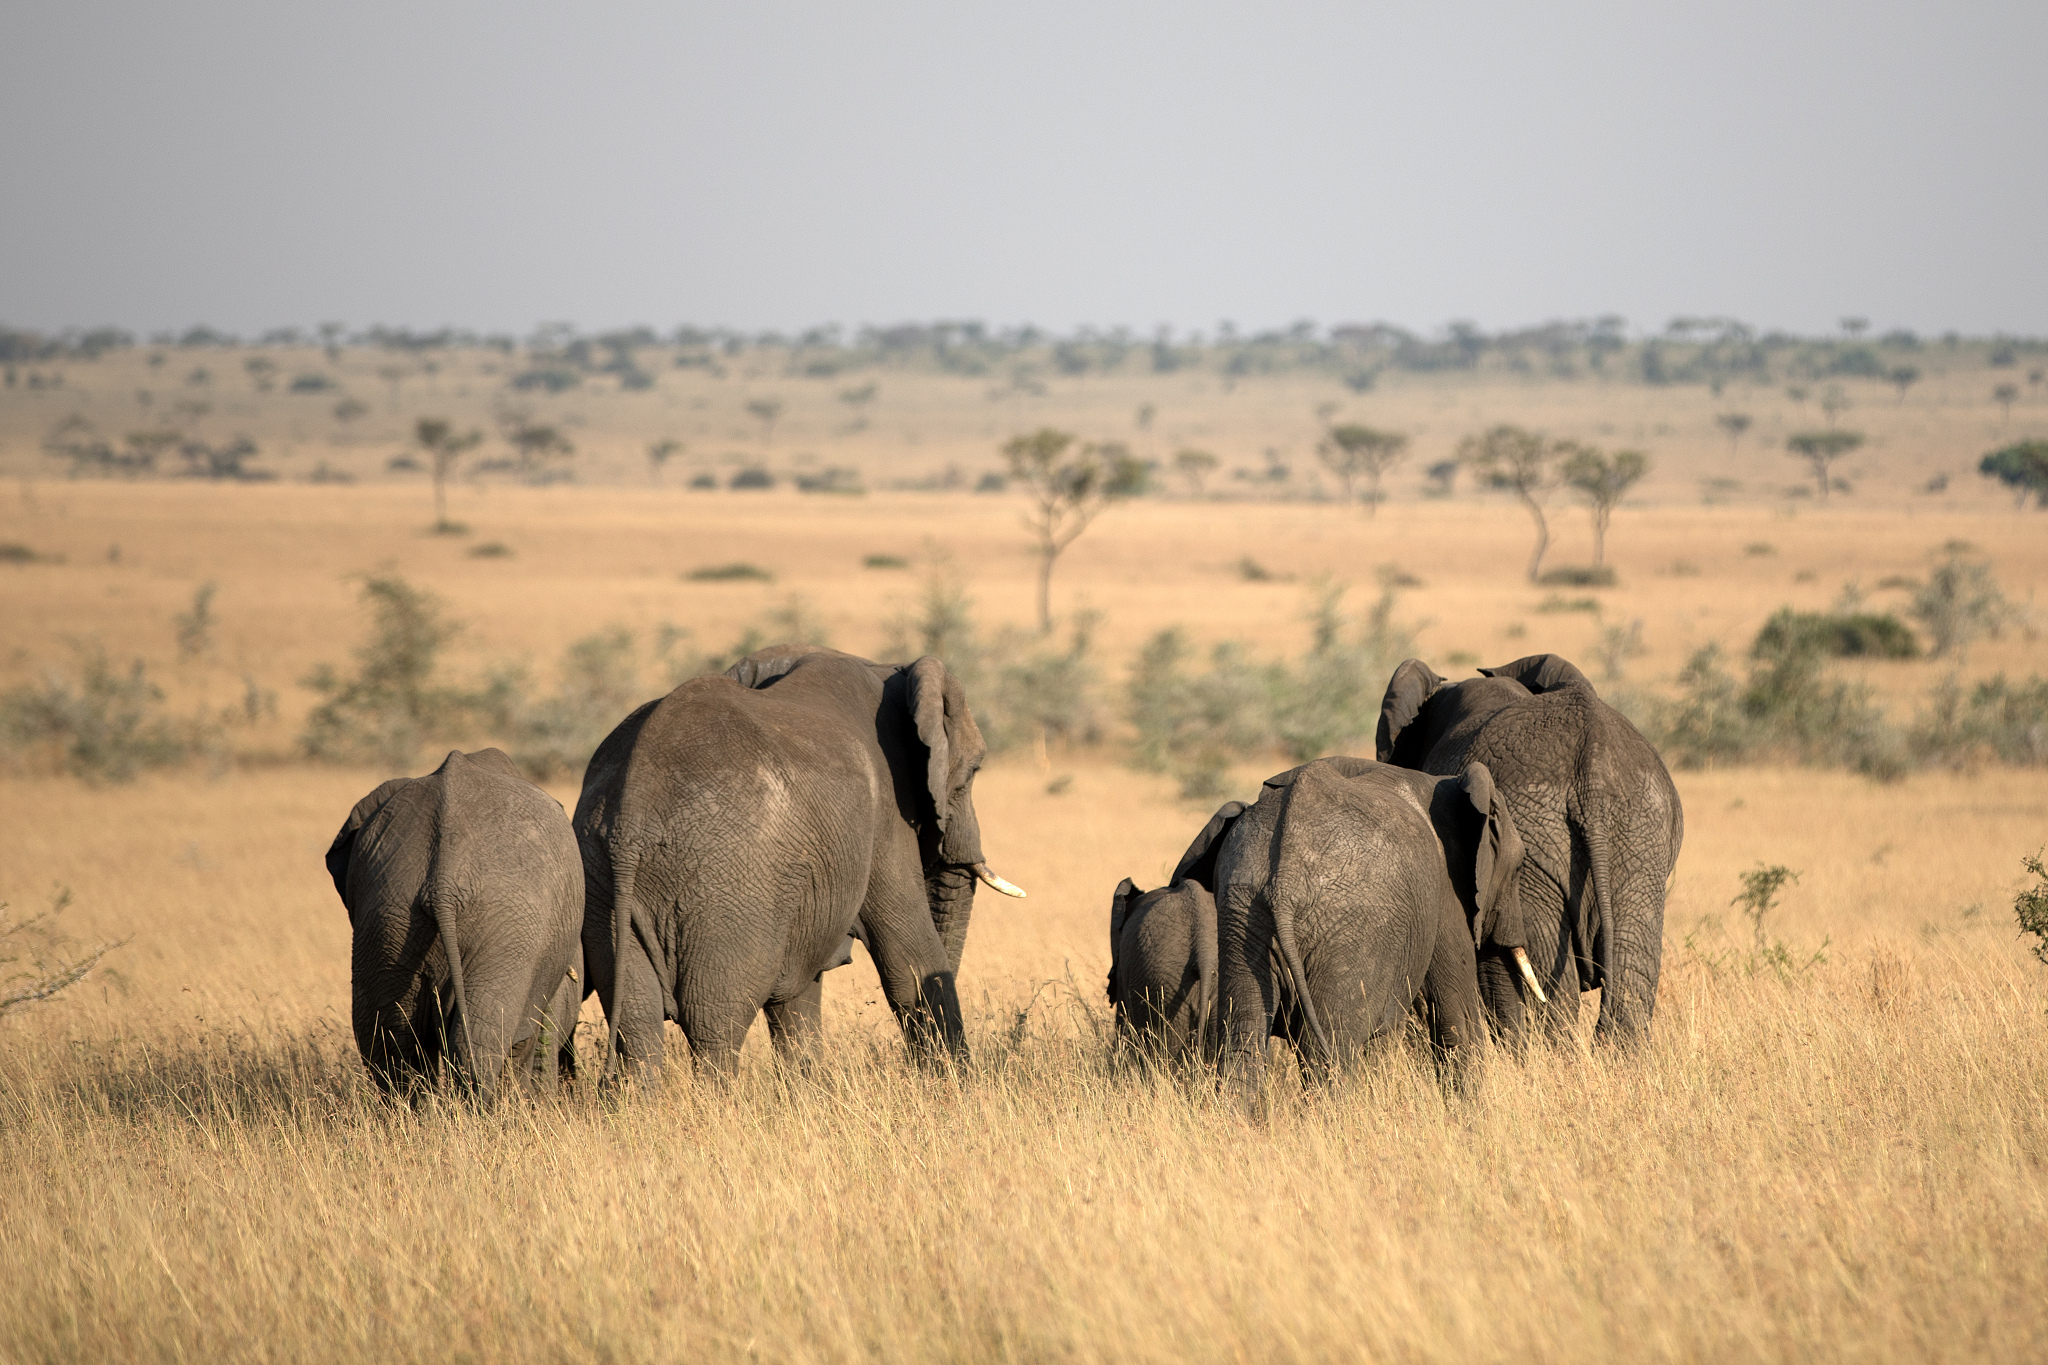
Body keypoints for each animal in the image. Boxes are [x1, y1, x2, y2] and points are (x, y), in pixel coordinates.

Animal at [575, 644, 1025, 1086]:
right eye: (973, 771)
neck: (887, 668)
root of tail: (632, 815)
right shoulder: (884, 815)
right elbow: (909, 956)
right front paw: (958, 1089)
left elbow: (797, 989)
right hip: (729, 888)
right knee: (714, 1022)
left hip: (602, 885)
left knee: (638, 1024)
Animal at [1208, 756, 1537, 1100]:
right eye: (1518, 868)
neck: (1449, 782)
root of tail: (1283, 881)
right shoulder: (1446, 892)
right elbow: (1457, 1010)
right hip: (1349, 932)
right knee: (1330, 1047)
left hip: (1242, 914)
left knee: (1243, 1039)